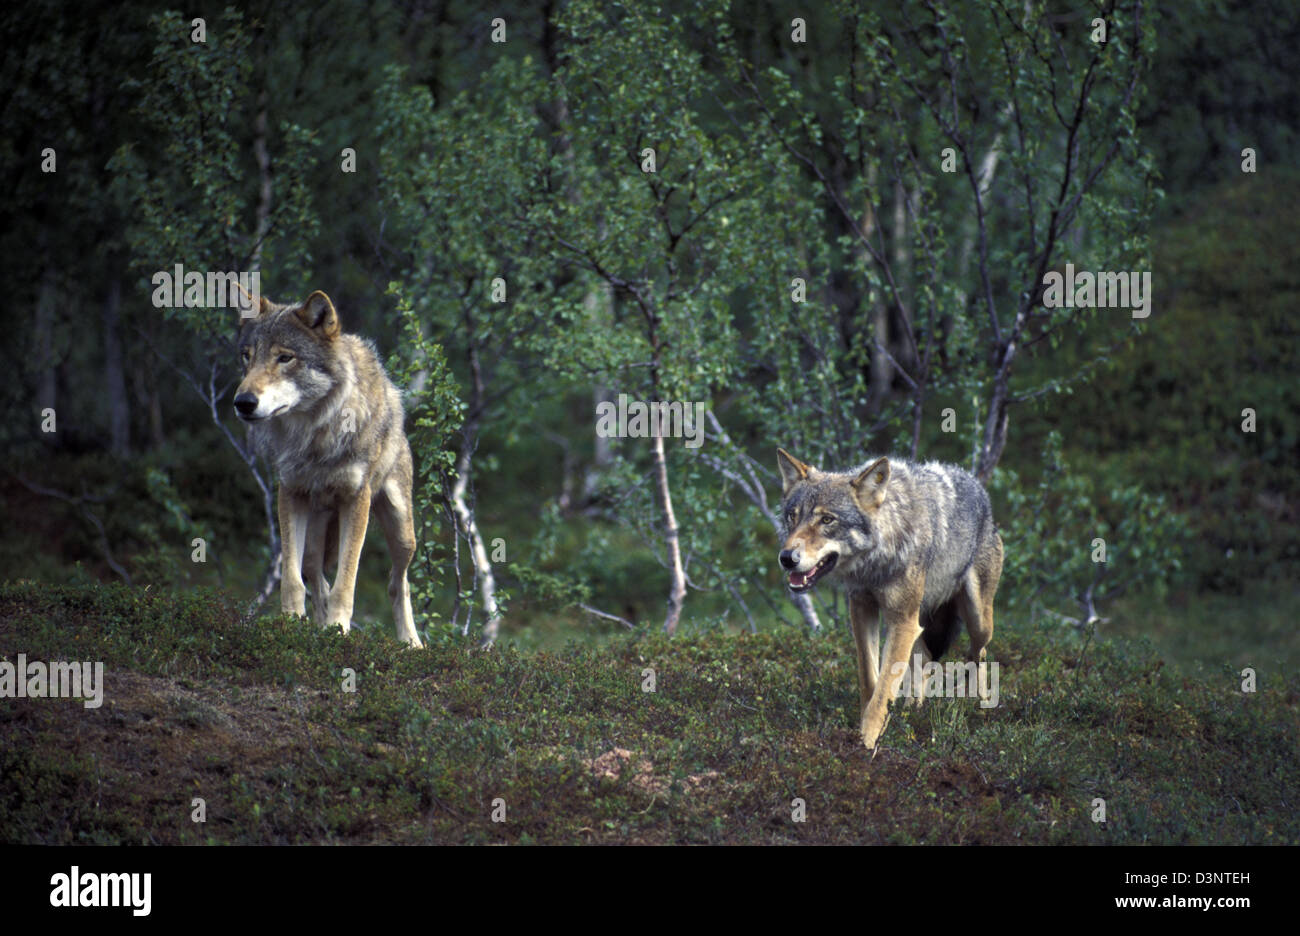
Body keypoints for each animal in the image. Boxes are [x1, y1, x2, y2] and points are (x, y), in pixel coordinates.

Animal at [231, 288, 418, 647]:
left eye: (285, 358)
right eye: (247, 357)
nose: (243, 402)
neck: (314, 434)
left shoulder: (356, 500)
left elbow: (347, 581)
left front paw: (338, 630)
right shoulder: (290, 493)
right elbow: (292, 579)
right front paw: (291, 624)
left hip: (402, 532)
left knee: (396, 583)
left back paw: (411, 644)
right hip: (316, 536)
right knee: (315, 577)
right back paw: (316, 626)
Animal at [774, 449, 998, 748]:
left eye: (827, 520)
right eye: (792, 516)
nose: (787, 558)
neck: (876, 560)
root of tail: (980, 489)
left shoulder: (901, 621)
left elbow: (883, 691)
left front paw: (866, 744)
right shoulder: (863, 610)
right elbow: (870, 679)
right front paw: (867, 732)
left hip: (976, 620)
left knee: (979, 654)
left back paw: (979, 705)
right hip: (918, 623)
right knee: (926, 659)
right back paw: (913, 710)